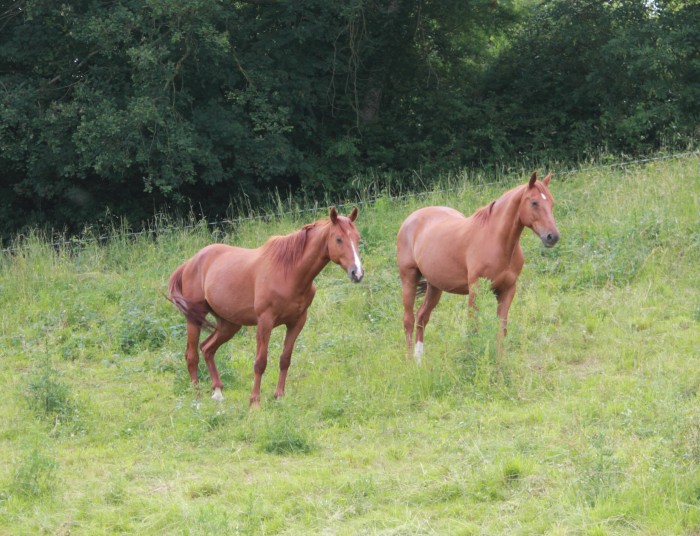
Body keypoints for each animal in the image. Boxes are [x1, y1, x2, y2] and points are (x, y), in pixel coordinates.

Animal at [170, 207, 364, 404]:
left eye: (357, 238)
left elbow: (285, 359)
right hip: (194, 319)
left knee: (207, 349)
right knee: (192, 356)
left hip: (229, 324)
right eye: (338, 239)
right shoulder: (265, 322)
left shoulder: (297, 322)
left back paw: (218, 392)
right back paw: (198, 398)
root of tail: (190, 263)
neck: (289, 272)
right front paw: (255, 400)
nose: (357, 273)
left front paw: (279, 396)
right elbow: (260, 362)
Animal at [396, 174, 560, 362]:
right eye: (534, 202)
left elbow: (501, 327)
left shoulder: (507, 290)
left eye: (551, 203)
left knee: (422, 316)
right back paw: (409, 361)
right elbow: (473, 325)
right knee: (408, 319)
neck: (497, 240)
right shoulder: (476, 289)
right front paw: (471, 359)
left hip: (435, 286)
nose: (552, 236)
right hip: (409, 279)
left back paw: (419, 360)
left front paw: (500, 361)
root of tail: (411, 218)